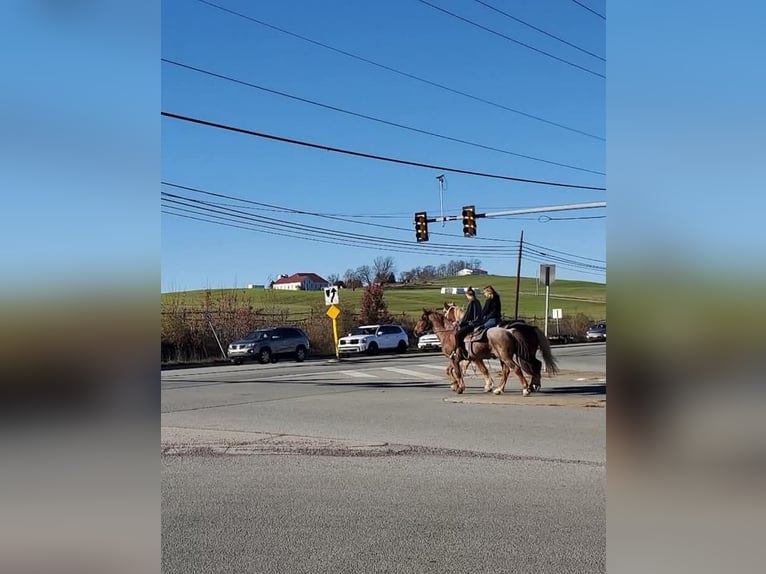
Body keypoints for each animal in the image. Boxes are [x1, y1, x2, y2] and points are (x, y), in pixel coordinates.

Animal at [416, 308, 560, 398]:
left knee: (519, 369)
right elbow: (473, 370)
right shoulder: (470, 358)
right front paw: (456, 385)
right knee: (520, 368)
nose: (415, 331)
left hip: (511, 356)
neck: (449, 334)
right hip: (513, 356)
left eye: (422, 318)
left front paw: (459, 387)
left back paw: (526, 389)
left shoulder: (456, 359)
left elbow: (458, 371)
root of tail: (510, 331)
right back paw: (503, 389)